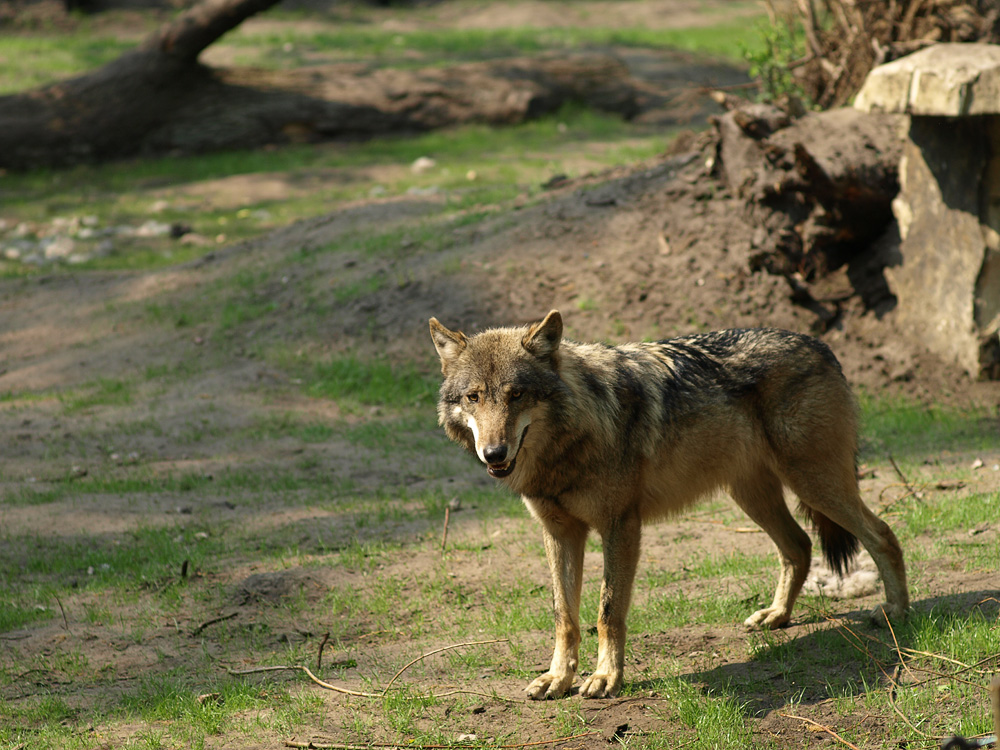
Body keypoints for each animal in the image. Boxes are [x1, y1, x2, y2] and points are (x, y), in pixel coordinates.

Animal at [426, 308, 912, 704]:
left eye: (516, 395)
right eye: (474, 397)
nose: (494, 453)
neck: (568, 446)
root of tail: (821, 345)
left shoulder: (620, 526)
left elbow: (607, 611)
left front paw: (606, 677)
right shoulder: (559, 533)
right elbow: (565, 615)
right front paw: (557, 679)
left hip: (814, 484)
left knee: (883, 535)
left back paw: (896, 613)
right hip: (753, 496)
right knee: (799, 546)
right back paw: (777, 616)